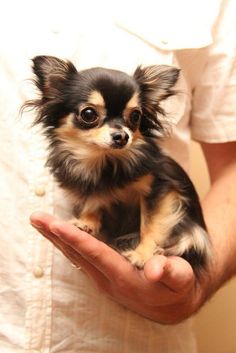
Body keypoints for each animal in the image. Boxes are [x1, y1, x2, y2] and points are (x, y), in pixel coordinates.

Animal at [24, 55, 211, 276]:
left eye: (136, 116)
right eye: (88, 114)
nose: (122, 136)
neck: (105, 160)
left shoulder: (159, 189)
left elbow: (151, 224)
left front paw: (143, 254)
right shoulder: (92, 184)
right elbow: (93, 200)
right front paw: (87, 221)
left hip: (194, 233)